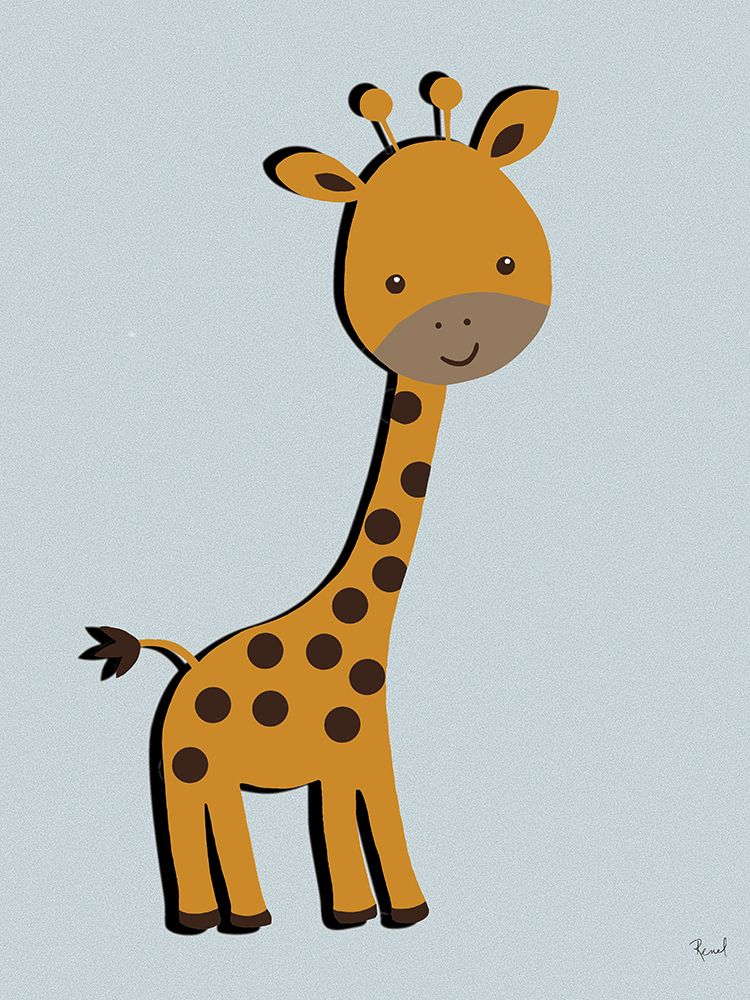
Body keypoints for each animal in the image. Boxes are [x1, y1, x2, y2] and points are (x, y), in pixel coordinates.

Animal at [83, 75, 558, 931]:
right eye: (392, 282)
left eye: (507, 258)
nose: (458, 326)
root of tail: (183, 668)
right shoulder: (350, 749)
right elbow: (356, 827)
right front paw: (380, 913)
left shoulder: (358, 751)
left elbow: (358, 824)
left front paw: (382, 913)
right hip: (187, 764)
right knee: (196, 821)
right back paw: (223, 919)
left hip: (204, 768)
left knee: (217, 823)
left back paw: (234, 918)